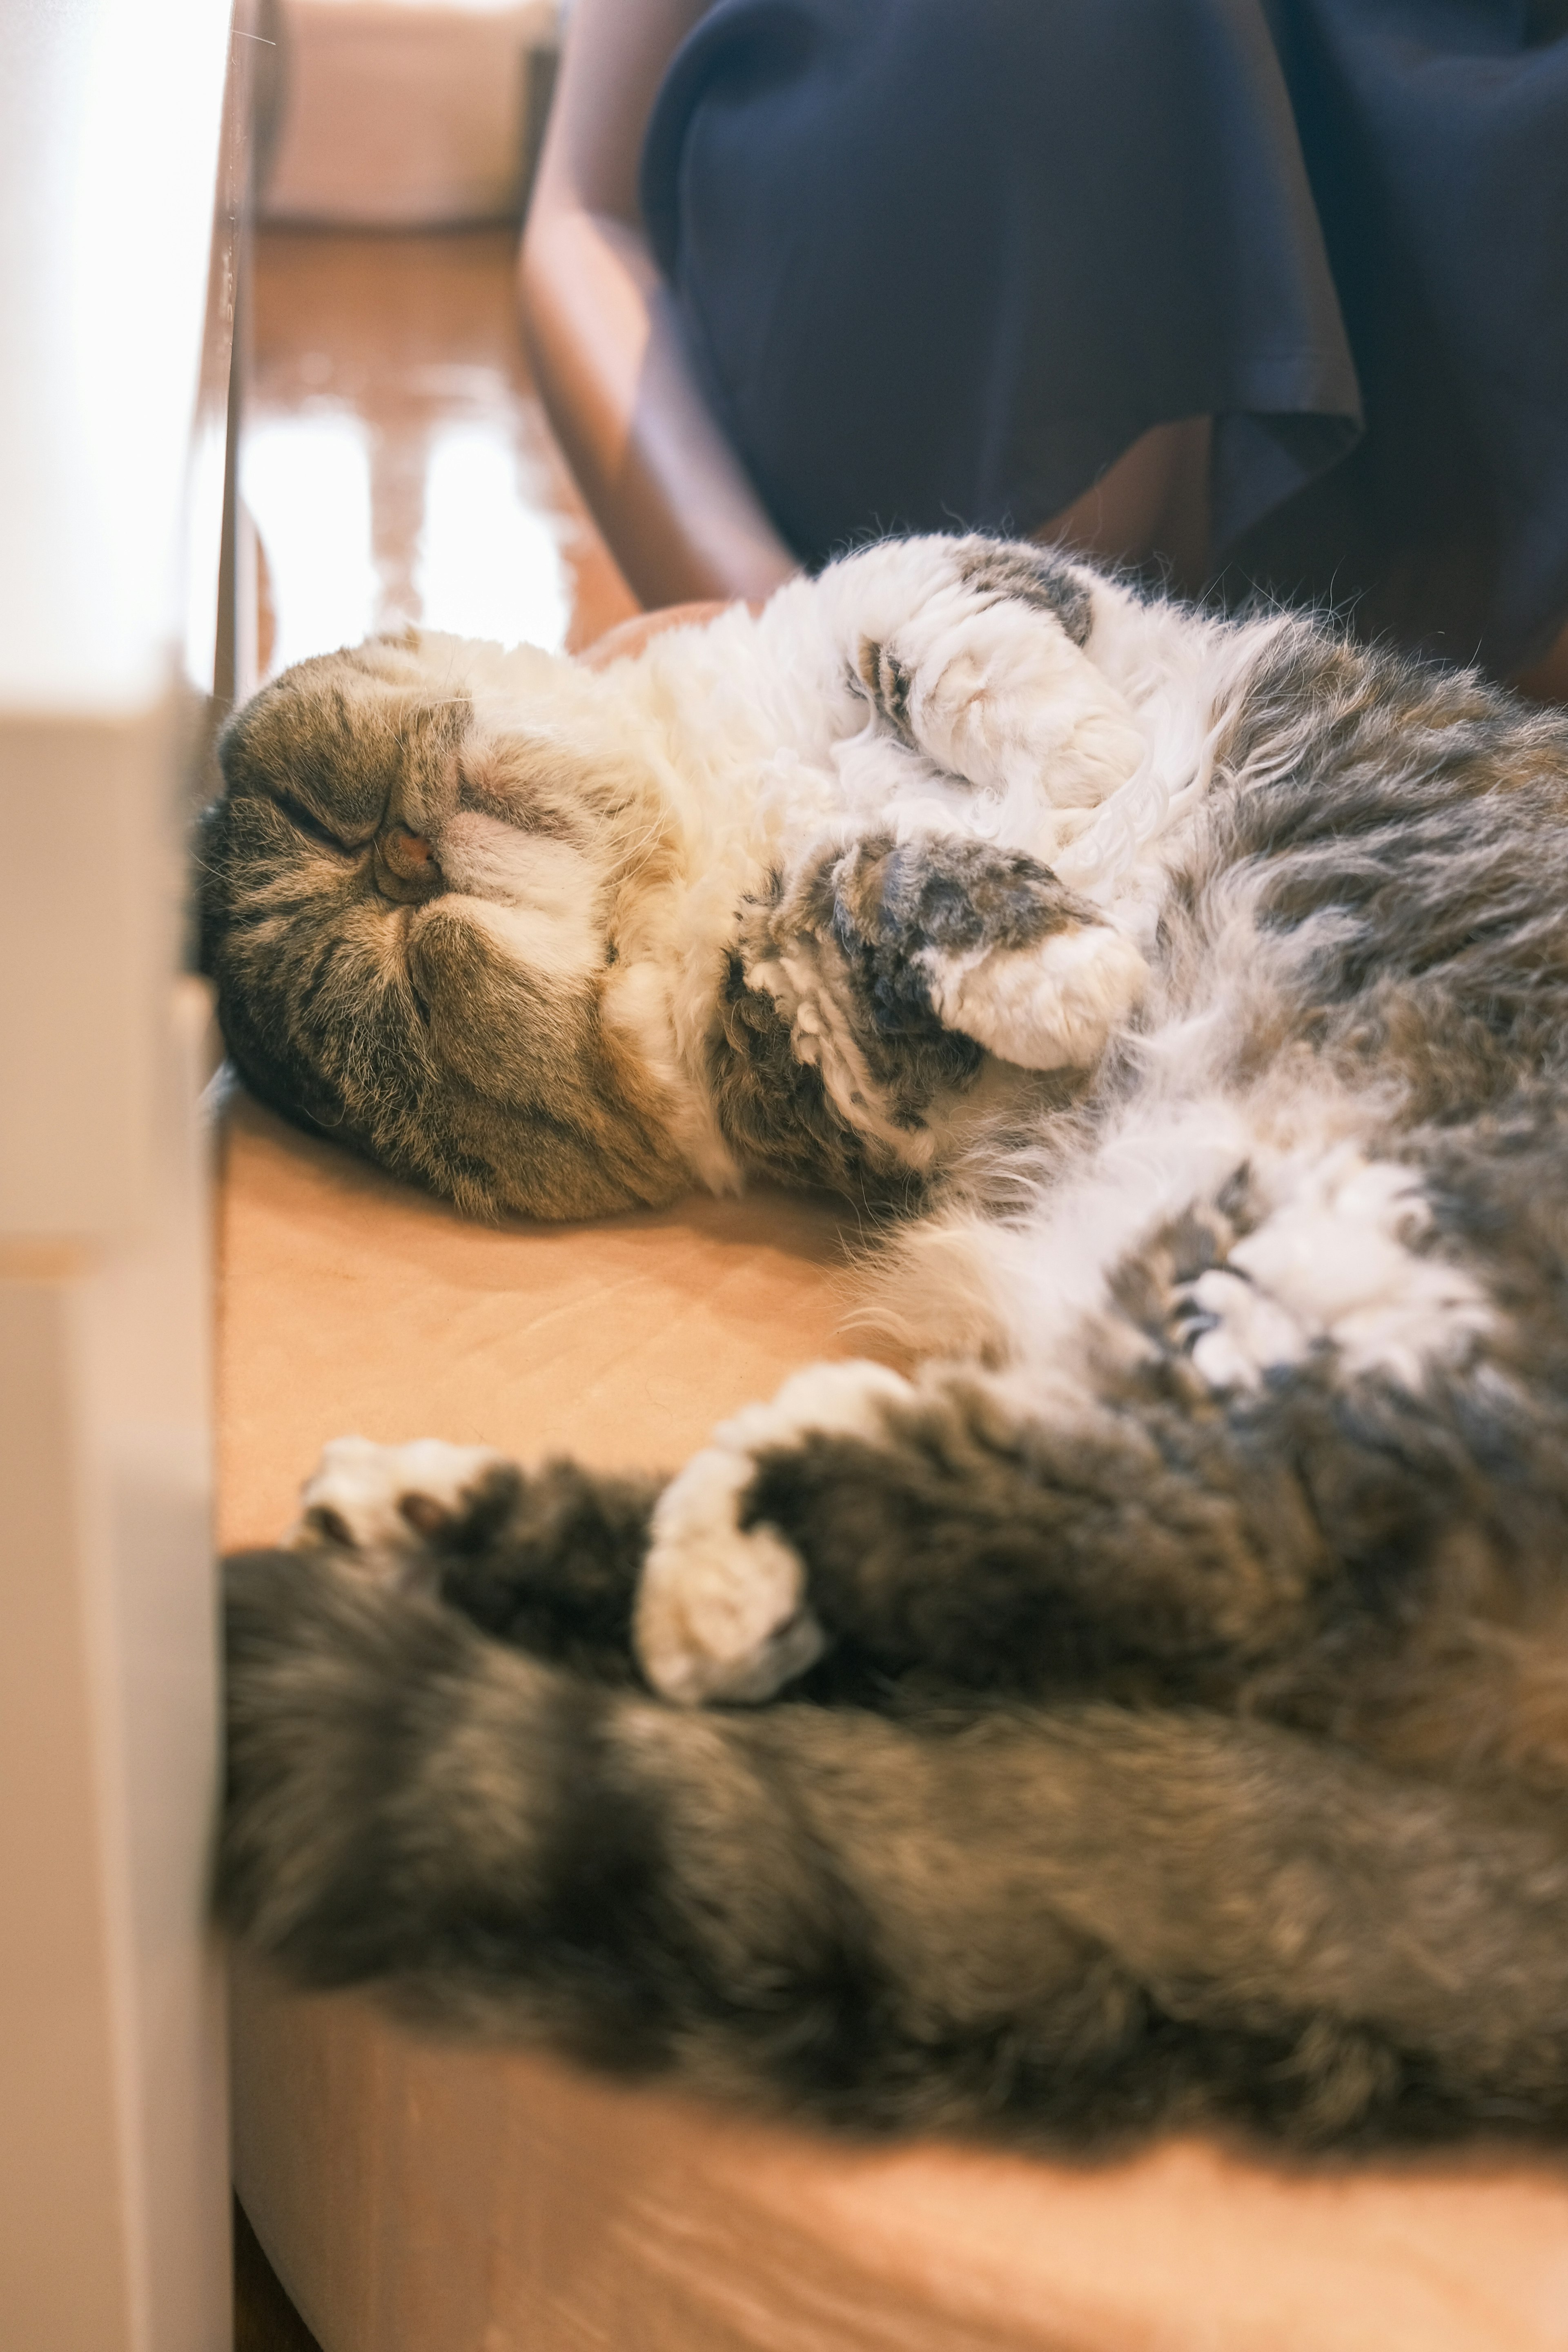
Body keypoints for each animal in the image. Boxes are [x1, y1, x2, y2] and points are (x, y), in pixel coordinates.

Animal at [202, 534, 1568, 2154]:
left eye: (340, 832)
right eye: (405, 966)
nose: (410, 850)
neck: (720, 817)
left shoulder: (948, 591)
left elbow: (947, 655)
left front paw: (1080, 776)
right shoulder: (836, 1077)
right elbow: (857, 899)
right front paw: (1069, 955)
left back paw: (457, 1523)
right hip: (1324, 1290)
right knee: (1154, 1534)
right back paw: (627, 1541)